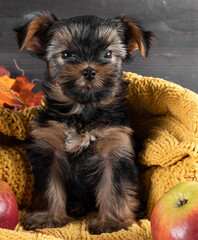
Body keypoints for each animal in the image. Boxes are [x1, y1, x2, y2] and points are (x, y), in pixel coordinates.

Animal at [14, 11, 152, 234]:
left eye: (107, 54)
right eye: (66, 55)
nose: (88, 70)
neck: (83, 111)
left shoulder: (115, 149)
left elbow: (114, 188)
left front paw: (111, 222)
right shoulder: (49, 149)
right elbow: (49, 187)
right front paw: (48, 217)